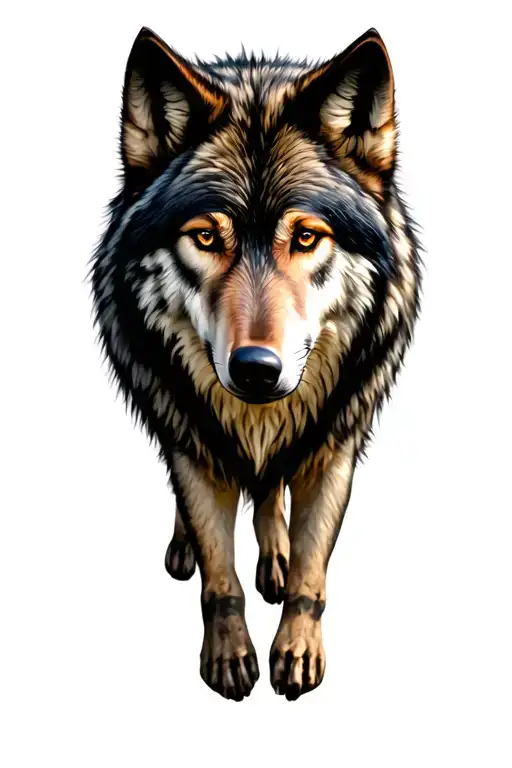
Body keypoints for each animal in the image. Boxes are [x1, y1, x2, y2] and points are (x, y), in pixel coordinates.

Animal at [90, 25, 421, 702]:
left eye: (306, 237)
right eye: (205, 237)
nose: (255, 369)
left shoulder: (334, 447)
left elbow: (311, 570)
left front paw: (296, 648)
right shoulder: (191, 443)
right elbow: (220, 577)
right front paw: (228, 656)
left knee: (270, 496)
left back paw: (274, 557)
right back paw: (185, 548)